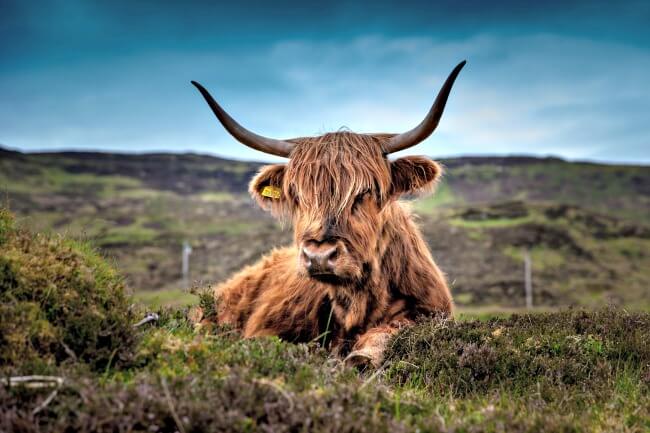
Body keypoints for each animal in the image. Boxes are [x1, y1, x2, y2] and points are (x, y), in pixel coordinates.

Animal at [191, 61, 465, 367]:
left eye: (365, 192)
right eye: (297, 195)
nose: (319, 255)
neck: (356, 303)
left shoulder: (428, 312)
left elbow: (389, 332)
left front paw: (362, 356)